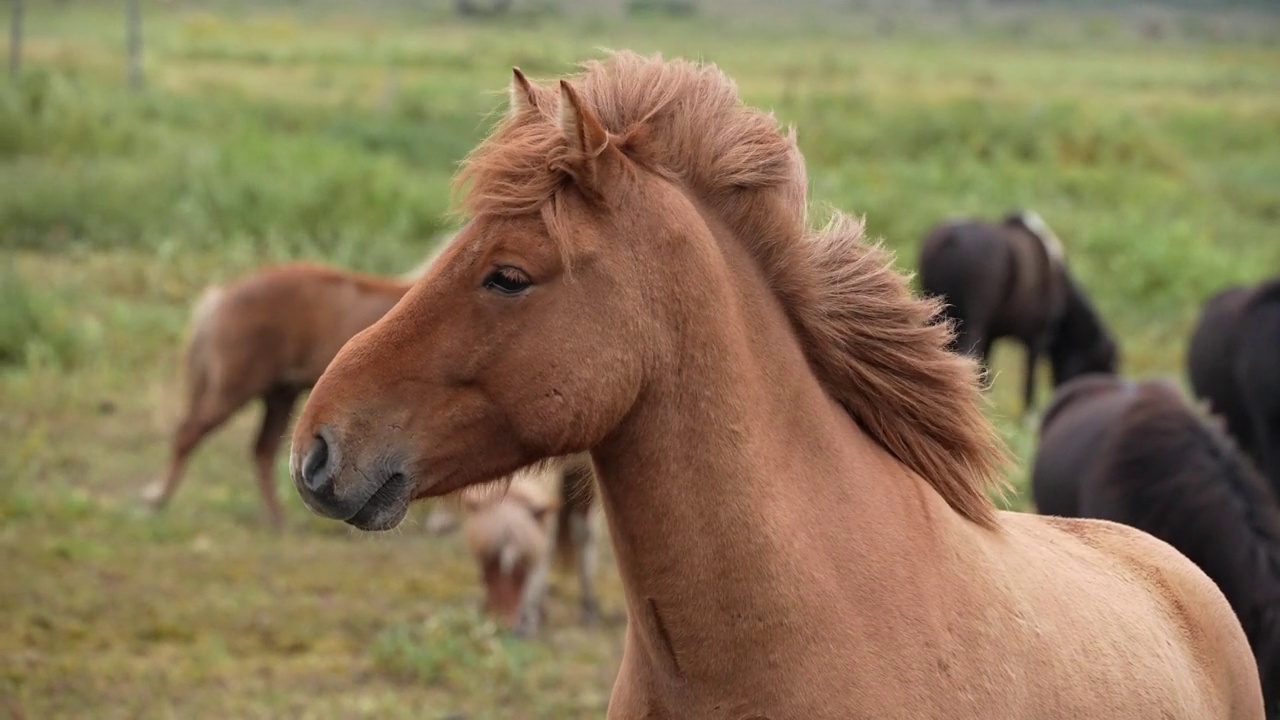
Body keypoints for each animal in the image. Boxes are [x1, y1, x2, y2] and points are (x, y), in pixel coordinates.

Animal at [145, 260, 414, 525]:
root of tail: (220, 297)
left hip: (280, 395)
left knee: (262, 451)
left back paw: (277, 518)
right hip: (235, 391)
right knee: (189, 434)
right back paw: (157, 500)